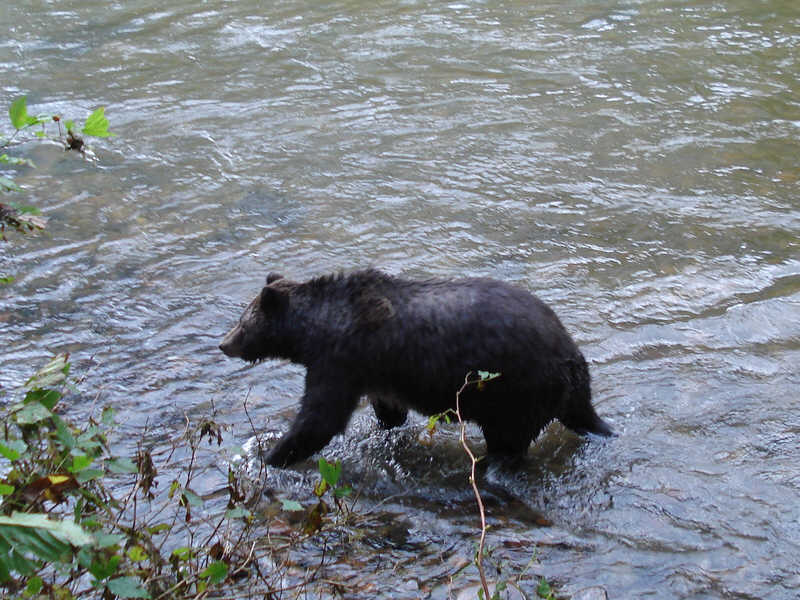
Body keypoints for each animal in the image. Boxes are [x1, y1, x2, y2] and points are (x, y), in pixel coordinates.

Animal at [219, 269, 613, 468]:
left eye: (244, 322)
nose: (224, 343)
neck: (319, 328)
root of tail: (571, 357)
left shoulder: (341, 360)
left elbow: (319, 419)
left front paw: (270, 454)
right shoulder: (374, 370)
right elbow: (389, 410)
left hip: (516, 390)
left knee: (508, 439)